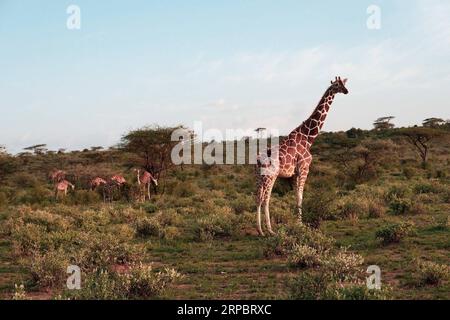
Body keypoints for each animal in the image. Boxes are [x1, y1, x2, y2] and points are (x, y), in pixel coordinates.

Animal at [255, 75, 350, 235]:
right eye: (337, 85)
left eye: (344, 83)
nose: (346, 91)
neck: (308, 137)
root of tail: (257, 160)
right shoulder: (304, 168)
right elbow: (301, 197)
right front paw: (301, 225)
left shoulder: (294, 173)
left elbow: (296, 197)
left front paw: (297, 223)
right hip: (270, 176)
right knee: (265, 198)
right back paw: (270, 230)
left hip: (259, 177)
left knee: (257, 197)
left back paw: (260, 230)